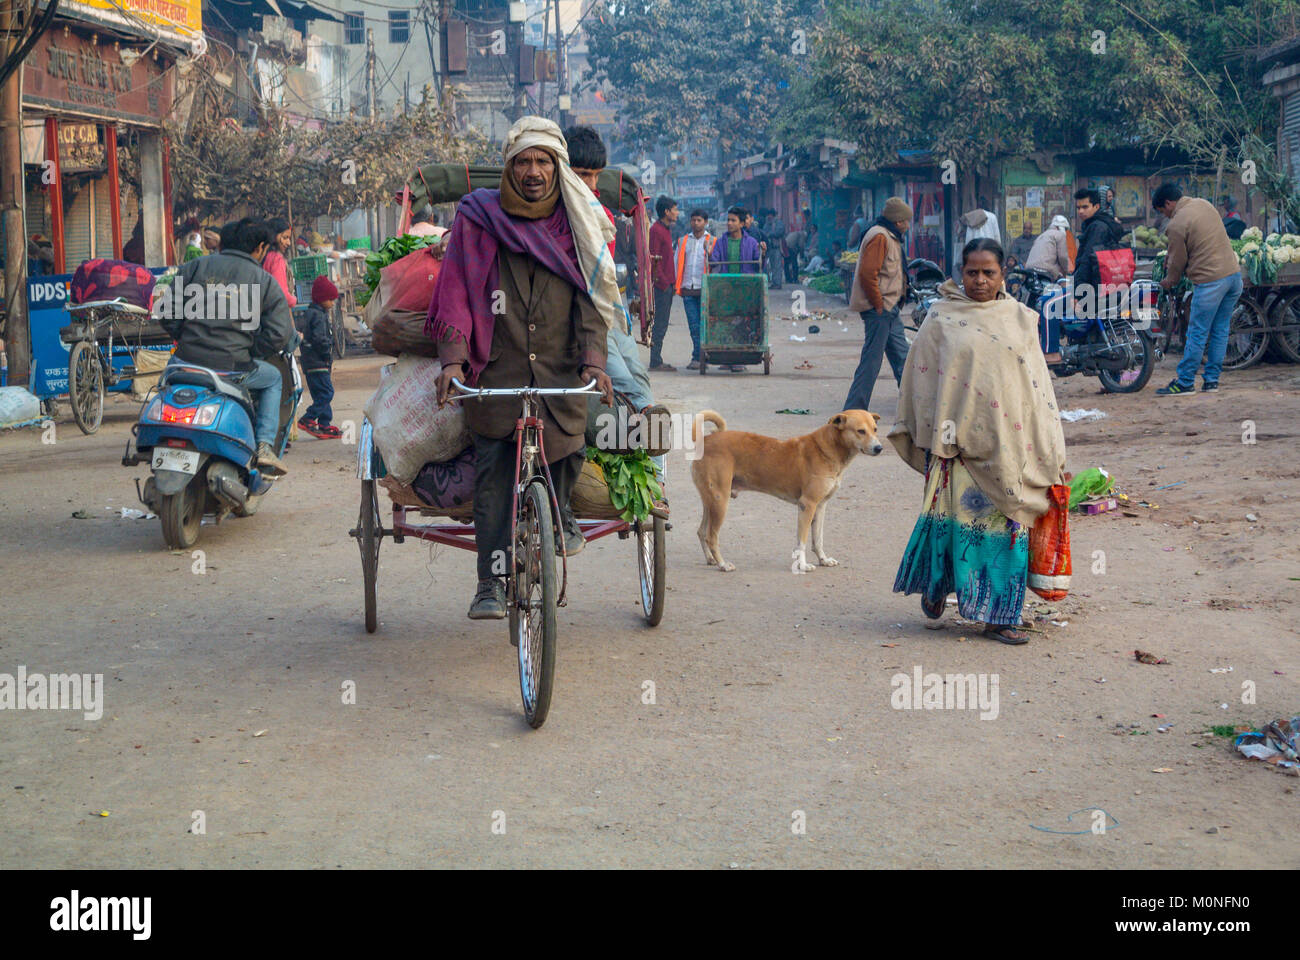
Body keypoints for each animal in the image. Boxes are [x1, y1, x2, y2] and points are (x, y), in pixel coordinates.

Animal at [691, 408, 883, 572]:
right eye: (860, 431)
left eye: (875, 429)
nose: (879, 448)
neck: (828, 448)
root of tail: (705, 440)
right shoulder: (807, 505)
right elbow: (802, 541)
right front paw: (803, 565)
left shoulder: (820, 506)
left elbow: (818, 539)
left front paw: (823, 560)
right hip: (720, 501)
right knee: (711, 537)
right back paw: (722, 564)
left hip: (711, 501)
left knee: (701, 532)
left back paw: (711, 559)